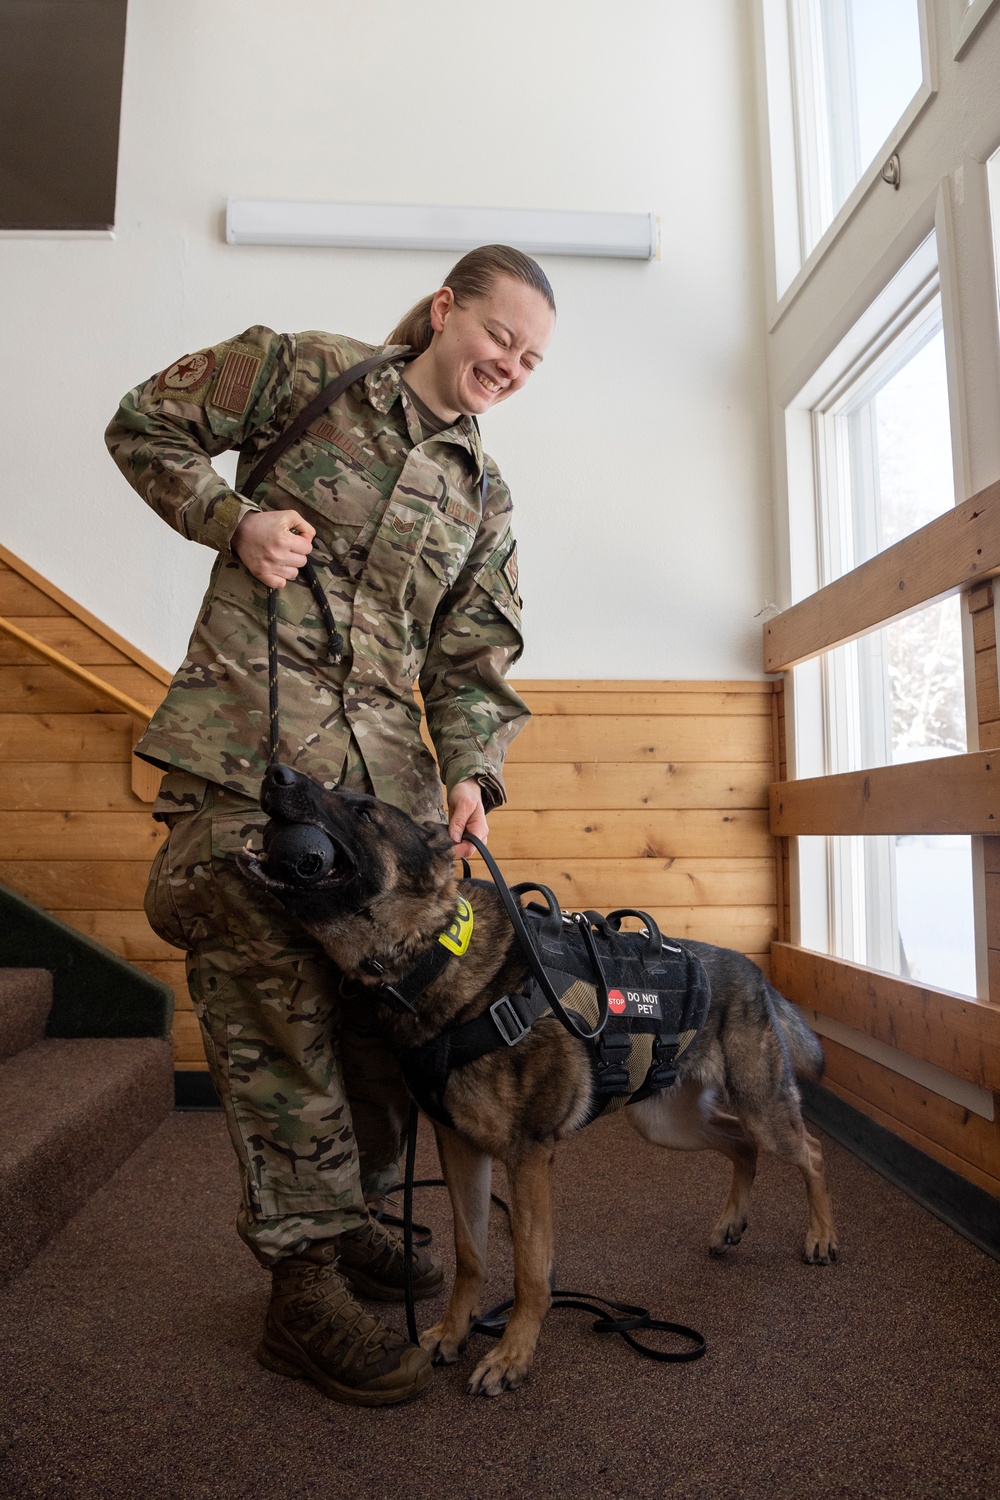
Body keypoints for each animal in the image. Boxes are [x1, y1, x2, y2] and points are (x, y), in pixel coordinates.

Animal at [239, 768, 839, 1398]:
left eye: (362, 810)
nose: (277, 773)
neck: (438, 957)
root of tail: (753, 970)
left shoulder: (527, 1158)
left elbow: (530, 1271)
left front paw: (512, 1355)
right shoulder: (460, 1148)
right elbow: (472, 1254)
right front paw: (453, 1331)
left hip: (760, 1108)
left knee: (809, 1150)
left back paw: (821, 1235)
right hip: (666, 1122)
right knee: (742, 1145)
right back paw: (731, 1224)